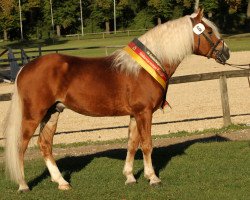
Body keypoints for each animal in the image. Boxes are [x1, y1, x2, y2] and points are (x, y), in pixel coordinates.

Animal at [3, 9, 229, 192]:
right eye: (209, 32)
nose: (226, 52)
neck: (146, 66)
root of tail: (26, 67)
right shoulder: (144, 112)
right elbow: (147, 144)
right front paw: (153, 178)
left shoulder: (135, 114)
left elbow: (132, 144)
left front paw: (130, 177)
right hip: (33, 115)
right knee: (21, 146)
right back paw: (23, 185)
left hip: (52, 113)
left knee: (44, 144)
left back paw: (62, 182)